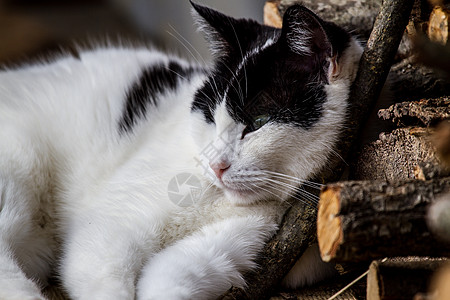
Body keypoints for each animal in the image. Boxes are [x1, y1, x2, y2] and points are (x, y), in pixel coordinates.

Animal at [0, 1, 362, 298]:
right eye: (211, 117)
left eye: (258, 121)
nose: (216, 165)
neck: (218, 199)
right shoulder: (108, 228)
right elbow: (103, 278)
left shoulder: (229, 247)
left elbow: (171, 278)